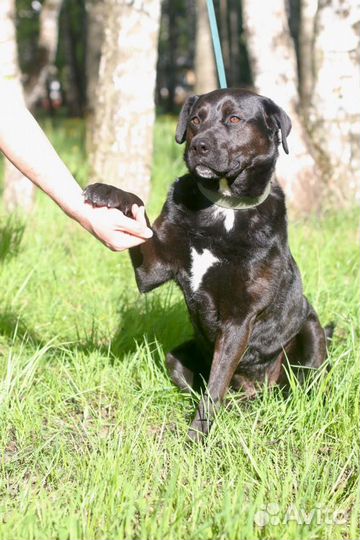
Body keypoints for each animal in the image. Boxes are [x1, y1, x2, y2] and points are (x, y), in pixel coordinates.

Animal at [83, 89, 330, 442]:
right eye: (196, 119)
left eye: (235, 119)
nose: (199, 145)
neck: (223, 208)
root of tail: (255, 391)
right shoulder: (152, 268)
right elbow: (139, 212)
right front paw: (108, 192)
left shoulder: (240, 318)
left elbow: (215, 385)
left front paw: (197, 438)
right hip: (176, 358)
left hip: (310, 330)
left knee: (304, 386)